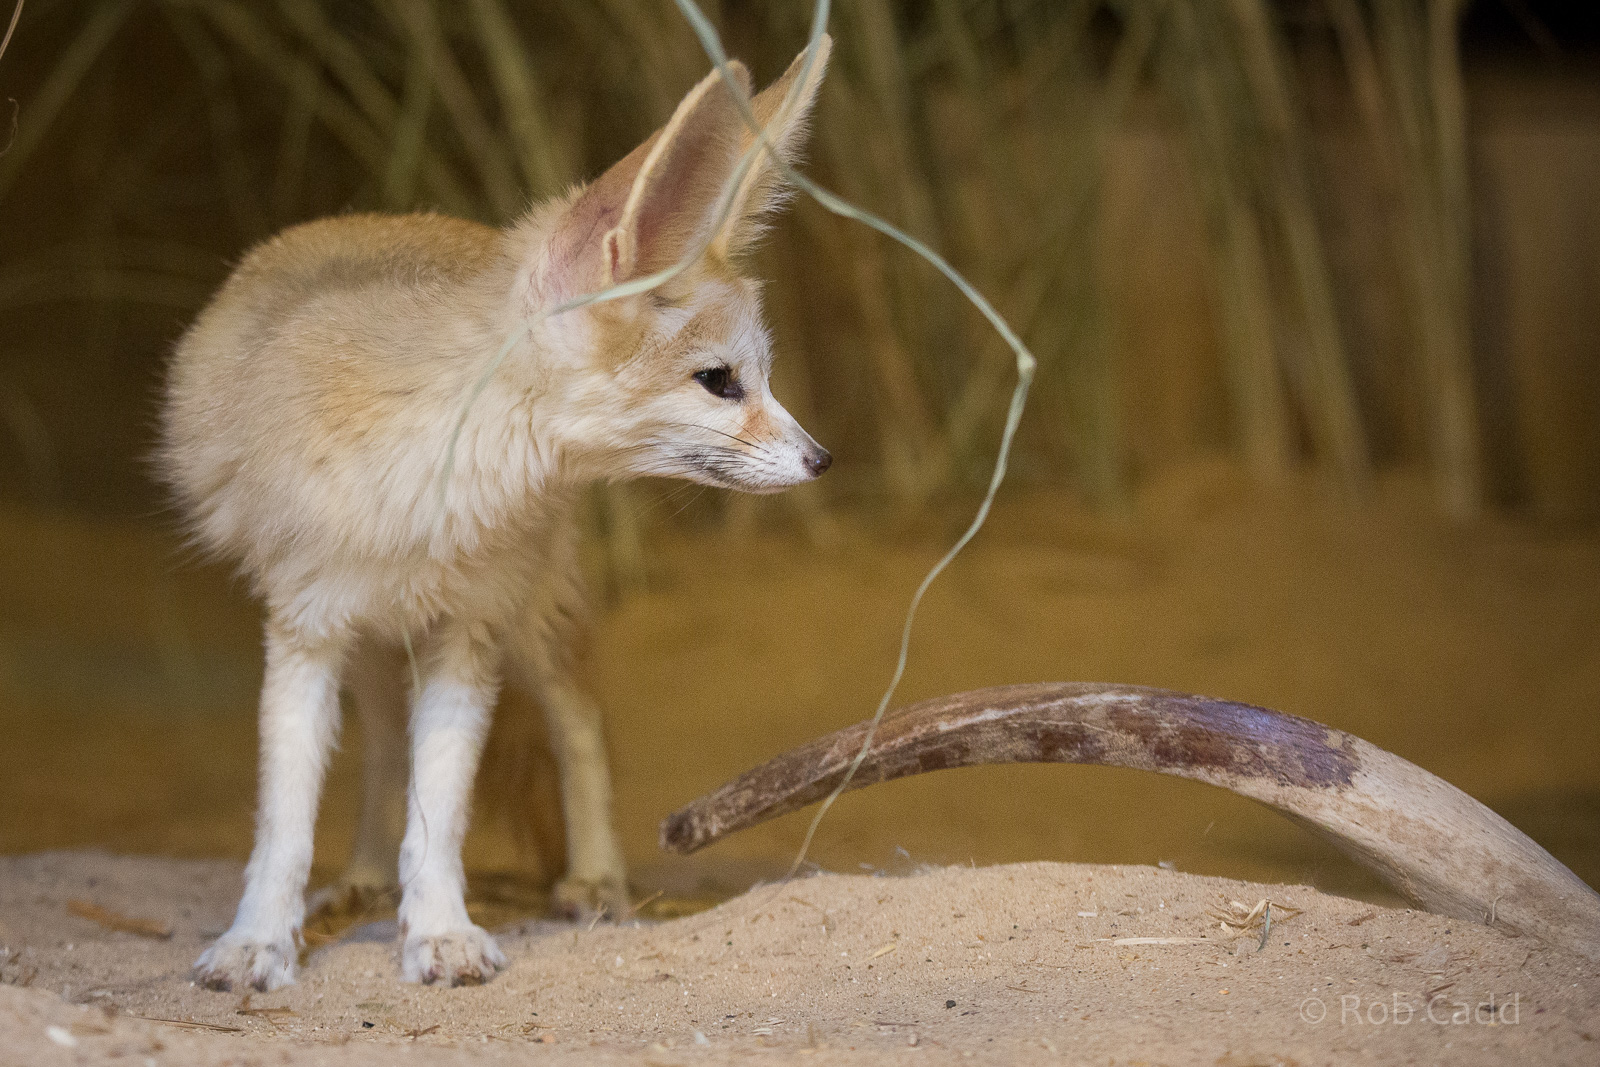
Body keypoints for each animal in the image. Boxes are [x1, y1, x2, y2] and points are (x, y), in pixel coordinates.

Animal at [157, 40, 833, 991]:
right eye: (719, 381)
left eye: (759, 377)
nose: (821, 460)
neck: (432, 468)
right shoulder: (306, 627)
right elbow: (286, 816)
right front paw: (257, 939)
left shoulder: (468, 631)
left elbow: (441, 806)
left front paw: (440, 929)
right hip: (374, 641)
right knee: (381, 747)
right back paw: (363, 878)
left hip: (534, 616)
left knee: (580, 723)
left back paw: (594, 876)